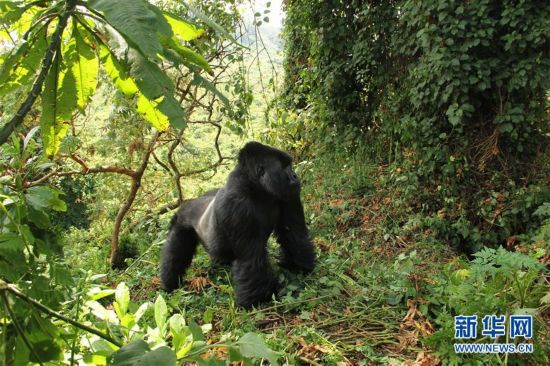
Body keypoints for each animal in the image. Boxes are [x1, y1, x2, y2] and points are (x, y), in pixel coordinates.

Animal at [160, 142, 316, 308]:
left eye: (289, 165)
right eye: (284, 167)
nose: (295, 176)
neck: (256, 187)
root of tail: (187, 203)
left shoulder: (288, 194)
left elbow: (294, 234)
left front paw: (298, 266)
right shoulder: (237, 204)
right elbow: (250, 257)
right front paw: (258, 300)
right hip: (181, 221)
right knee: (175, 253)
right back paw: (169, 283)